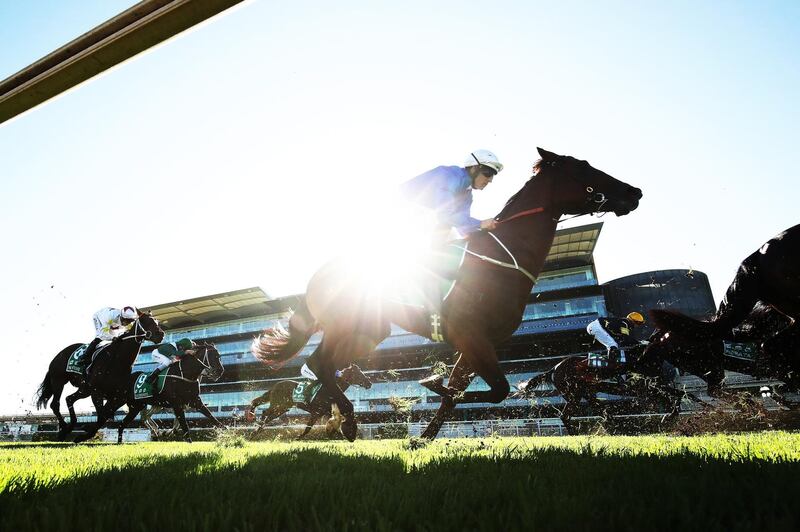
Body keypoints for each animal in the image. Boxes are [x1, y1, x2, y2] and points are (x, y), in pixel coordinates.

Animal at [36, 312, 164, 440]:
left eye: (156, 321)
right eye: (145, 321)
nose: (161, 334)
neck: (117, 360)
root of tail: (59, 354)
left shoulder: (115, 396)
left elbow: (104, 417)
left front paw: (86, 432)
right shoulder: (97, 392)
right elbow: (102, 416)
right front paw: (84, 435)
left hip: (84, 389)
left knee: (69, 399)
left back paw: (70, 426)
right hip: (58, 381)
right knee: (55, 404)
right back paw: (64, 429)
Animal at [244, 364, 372, 438]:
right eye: (358, 373)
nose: (369, 383)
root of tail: (276, 385)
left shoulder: (324, 412)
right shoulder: (316, 412)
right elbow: (308, 427)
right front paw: (298, 437)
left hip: (282, 408)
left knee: (267, 415)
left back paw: (257, 430)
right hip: (278, 405)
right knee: (265, 412)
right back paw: (257, 426)